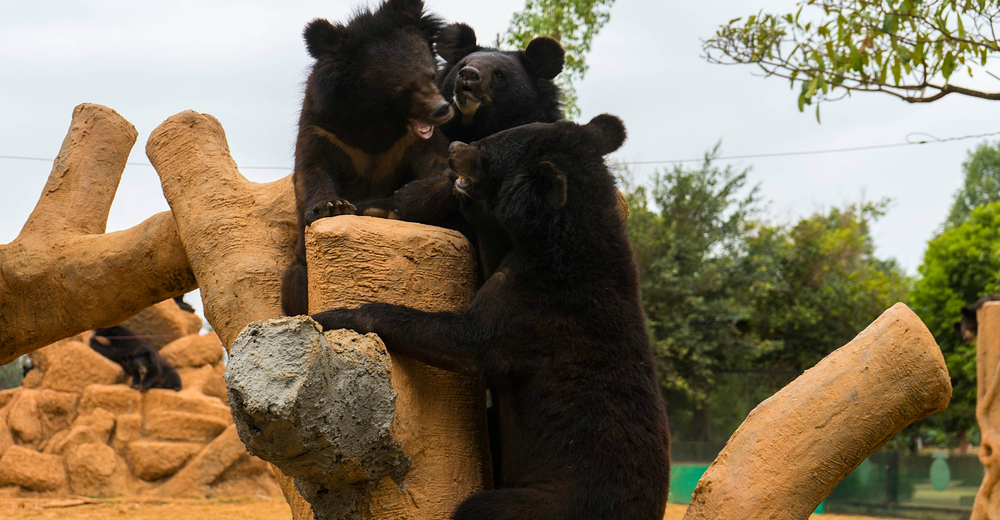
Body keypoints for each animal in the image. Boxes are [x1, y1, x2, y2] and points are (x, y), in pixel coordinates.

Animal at [282, 0, 454, 314]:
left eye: (430, 74)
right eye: (403, 90)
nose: (442, 109)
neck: (376, 121)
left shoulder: (409, 141)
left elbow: (439, 168)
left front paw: (380, 206)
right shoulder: (323, 126)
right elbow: (311, 167)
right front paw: (333, 206)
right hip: (300, 268)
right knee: (295, 282)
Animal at [312, 116, 672, 516]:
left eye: (488, 150)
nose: (454, 147)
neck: (559, 236)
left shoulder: (536, 306)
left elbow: (470, 340)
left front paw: (338, 315)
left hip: (552, 501)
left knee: (480, 508)